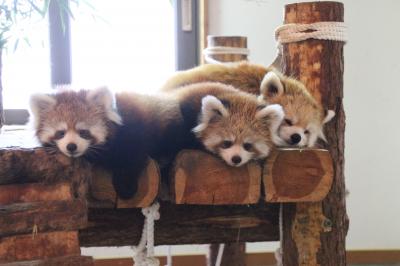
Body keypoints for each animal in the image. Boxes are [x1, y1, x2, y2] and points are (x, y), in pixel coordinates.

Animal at [29, 82, 282, 198]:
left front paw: (126, 188)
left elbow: (132, 157)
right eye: (61, 133)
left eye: (83, 132)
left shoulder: (134, 131)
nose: (71, 147)